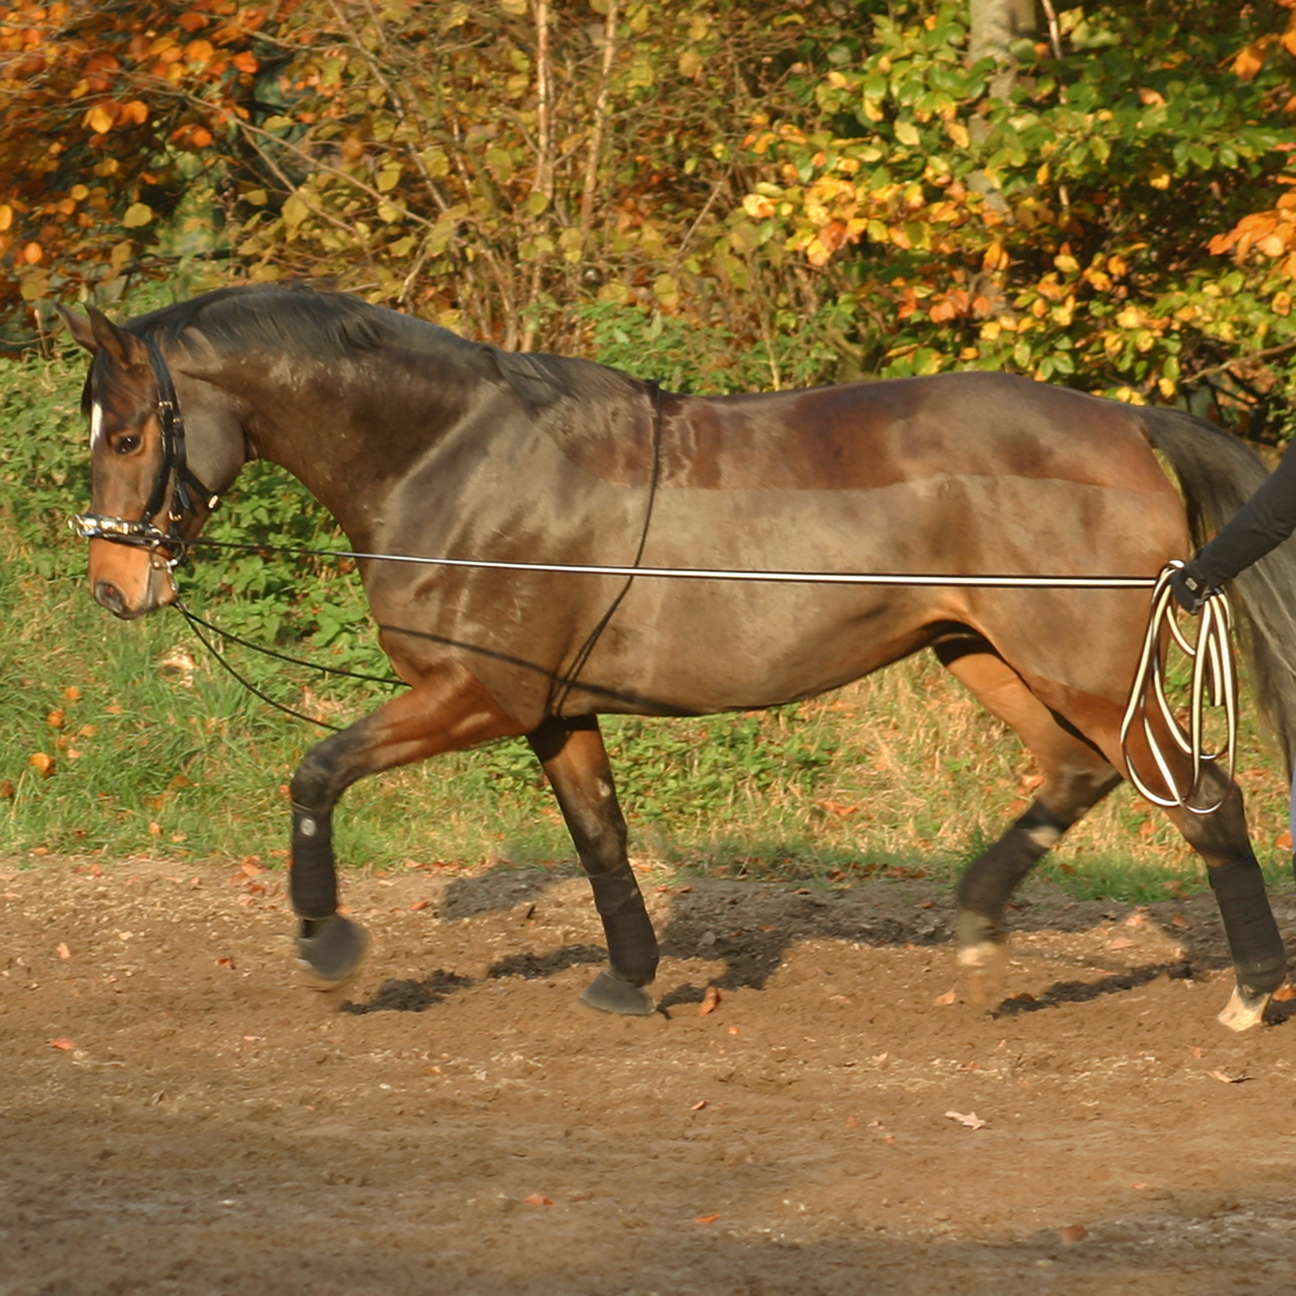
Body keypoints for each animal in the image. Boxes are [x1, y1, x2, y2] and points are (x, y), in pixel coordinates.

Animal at [63, 286, 1296, 1031]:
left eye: (126, 434)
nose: (117, 587)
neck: (456, 462)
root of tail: (1121, 423)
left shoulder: (476, 693)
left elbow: (316, 773)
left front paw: (326, 942)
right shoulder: (555, 711)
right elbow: (601, 839)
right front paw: (627, 980)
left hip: (1084, 663)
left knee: (1204, 797)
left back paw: (1250, 992)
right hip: (985, 653)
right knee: (1081, 774)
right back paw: (981, 934)